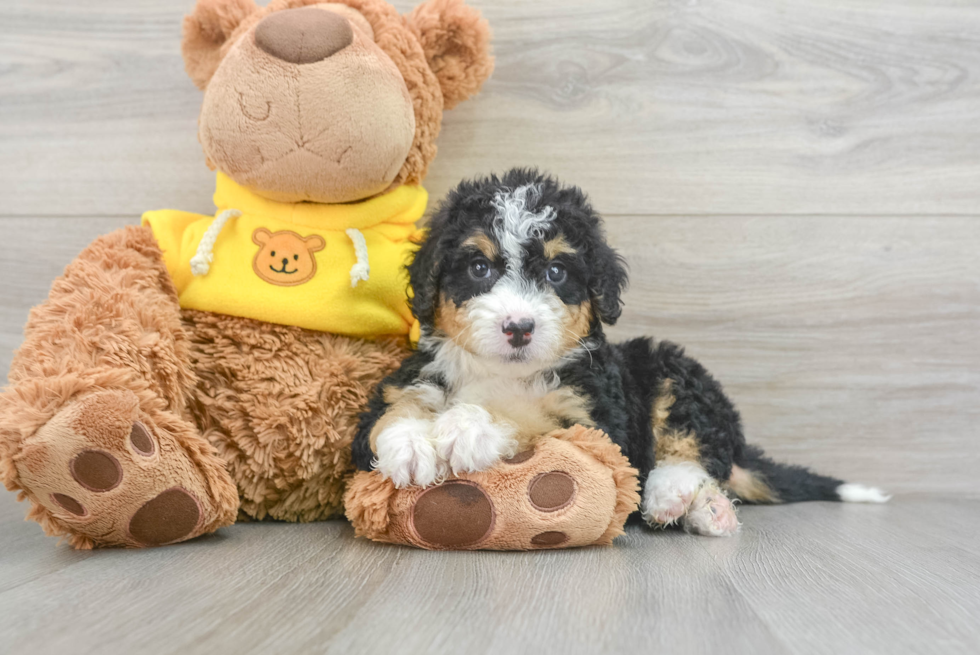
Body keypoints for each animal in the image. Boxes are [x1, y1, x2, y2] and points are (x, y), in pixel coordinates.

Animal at [352, 169, 888, 540]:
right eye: (479, 267)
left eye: (556, 273)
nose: (519, 328)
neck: (505, 373)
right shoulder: (404, 384)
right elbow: (389, 416)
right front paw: (410, 443)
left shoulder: (598, 421)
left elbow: (532, 423)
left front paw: (470, 427)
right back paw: (707, 511)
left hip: (672, 369)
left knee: (694, 448)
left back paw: (676, 495)